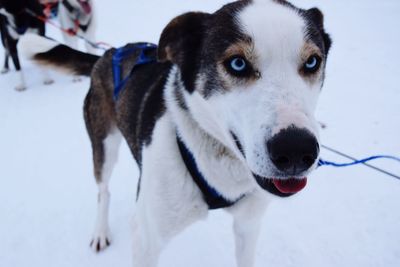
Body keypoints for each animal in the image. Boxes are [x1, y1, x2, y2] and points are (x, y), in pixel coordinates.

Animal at [21, 0, 332, 266]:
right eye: (238, 63)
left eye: (312, 62)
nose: (296, 149)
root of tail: (108, 54)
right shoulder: (146, 241)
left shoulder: (248, 226)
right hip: (104, 147)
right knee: (103, 190)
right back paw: (100, 231)